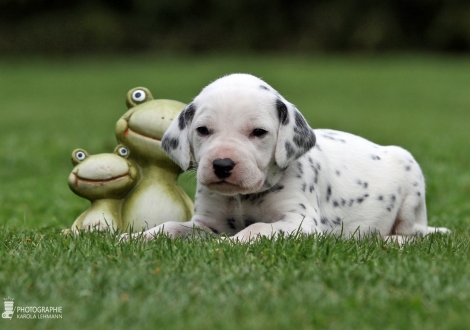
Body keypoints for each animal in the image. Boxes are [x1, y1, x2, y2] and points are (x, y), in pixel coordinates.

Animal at [123, 73, 450, 242]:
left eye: (258, 132)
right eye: (203, 130)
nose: (222, 165)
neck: (244, 197)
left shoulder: (300, 222)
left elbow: (256, 229)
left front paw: (230, 244)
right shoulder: (206, 223)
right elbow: (169, 226)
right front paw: (132, 239)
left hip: (411, 185)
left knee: (412, 233)